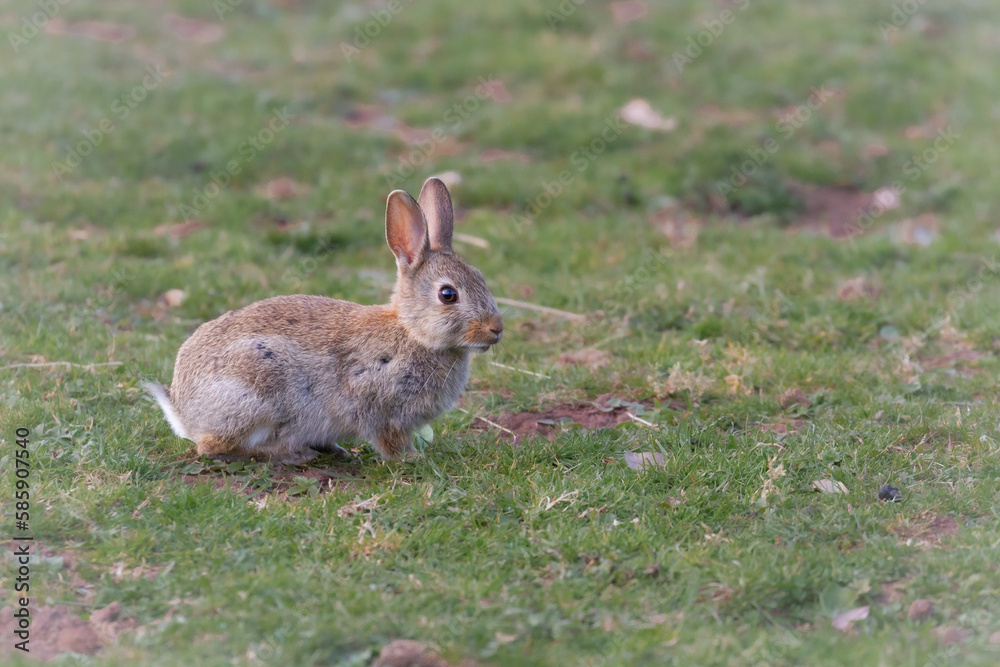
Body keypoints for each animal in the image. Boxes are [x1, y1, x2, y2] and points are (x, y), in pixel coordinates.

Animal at [146, 177, 504, 464]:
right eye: (448, 295)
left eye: (481, 277)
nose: (496, 329)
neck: (412, 332)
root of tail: (183, 410)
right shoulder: (380, 406)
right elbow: (389, 439)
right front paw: (412, 459)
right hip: (258, 389)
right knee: (214, 447)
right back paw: (294, 454)